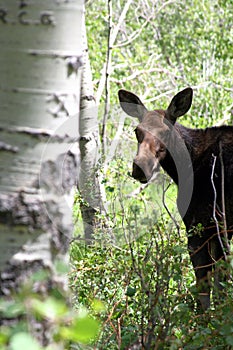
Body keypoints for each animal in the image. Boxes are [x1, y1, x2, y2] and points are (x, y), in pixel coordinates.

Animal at [118, 88, 233, 312]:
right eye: (137, 131)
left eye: (165, 131)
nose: (140, 167)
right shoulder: (213, 228)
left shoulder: (205, 224)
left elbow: (207, 288)